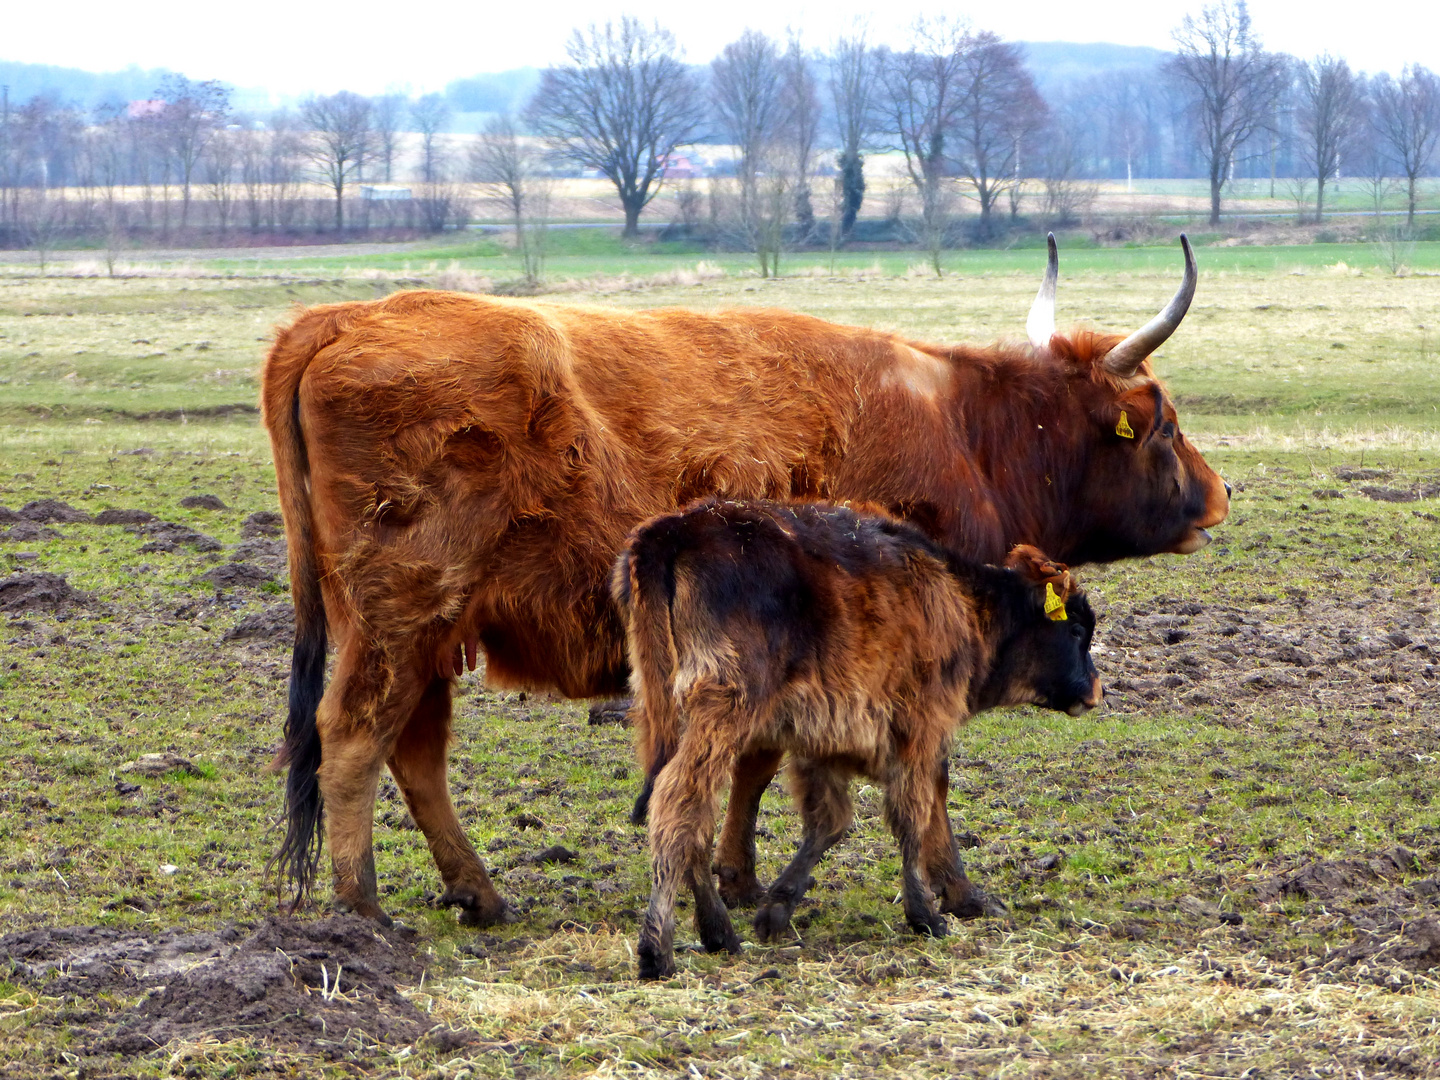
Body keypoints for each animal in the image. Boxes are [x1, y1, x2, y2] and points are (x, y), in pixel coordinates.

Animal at [610, 498, 1100, 979]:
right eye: (1076, 628)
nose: (1095, 689)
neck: (959, 598)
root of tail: (673, 532)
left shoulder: (824, 744)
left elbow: (831, 822)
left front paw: (776, 909)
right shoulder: (921, 726)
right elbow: (915, 811)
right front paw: (928, 913)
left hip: (668, 715)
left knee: (691, 814)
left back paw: (718, 933)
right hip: (721, 713)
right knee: (681, 804)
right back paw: (658, 951)